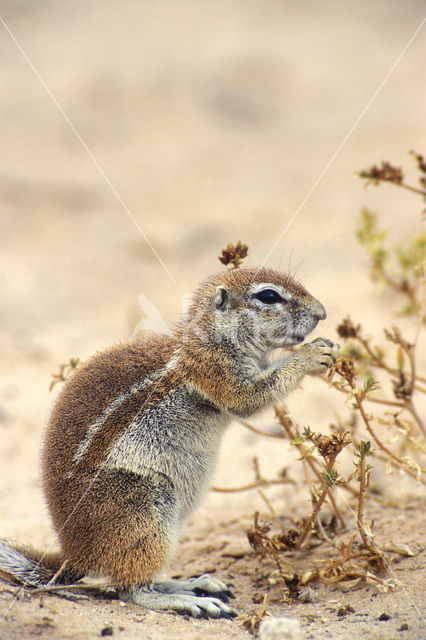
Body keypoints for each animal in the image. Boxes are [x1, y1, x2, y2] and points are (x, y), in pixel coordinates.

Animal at [0, 264, 340, 620]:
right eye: (269, 296)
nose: (322, 313)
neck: (208, 339)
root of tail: (75, 555)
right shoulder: (217, 372)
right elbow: (251, 397)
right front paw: (312, 354)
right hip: (143, 508)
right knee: (130, 589)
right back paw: (188, 600)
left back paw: (193, 584)